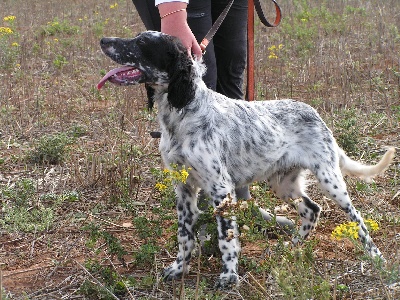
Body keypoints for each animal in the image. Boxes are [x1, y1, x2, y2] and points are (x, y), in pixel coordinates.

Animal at [98, 31, 396, 288]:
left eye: (142, 42)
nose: (103, 40)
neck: (183, 114)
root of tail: (315, 113)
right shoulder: (183, 189)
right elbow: (184, 236)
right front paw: (179, 269)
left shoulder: (220, 188)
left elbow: (226, 238)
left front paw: (229, 276)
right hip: (283, 183)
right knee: (312, 209)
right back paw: (293, 246)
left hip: (330, 179)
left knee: (357, 218)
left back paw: (377, 257)